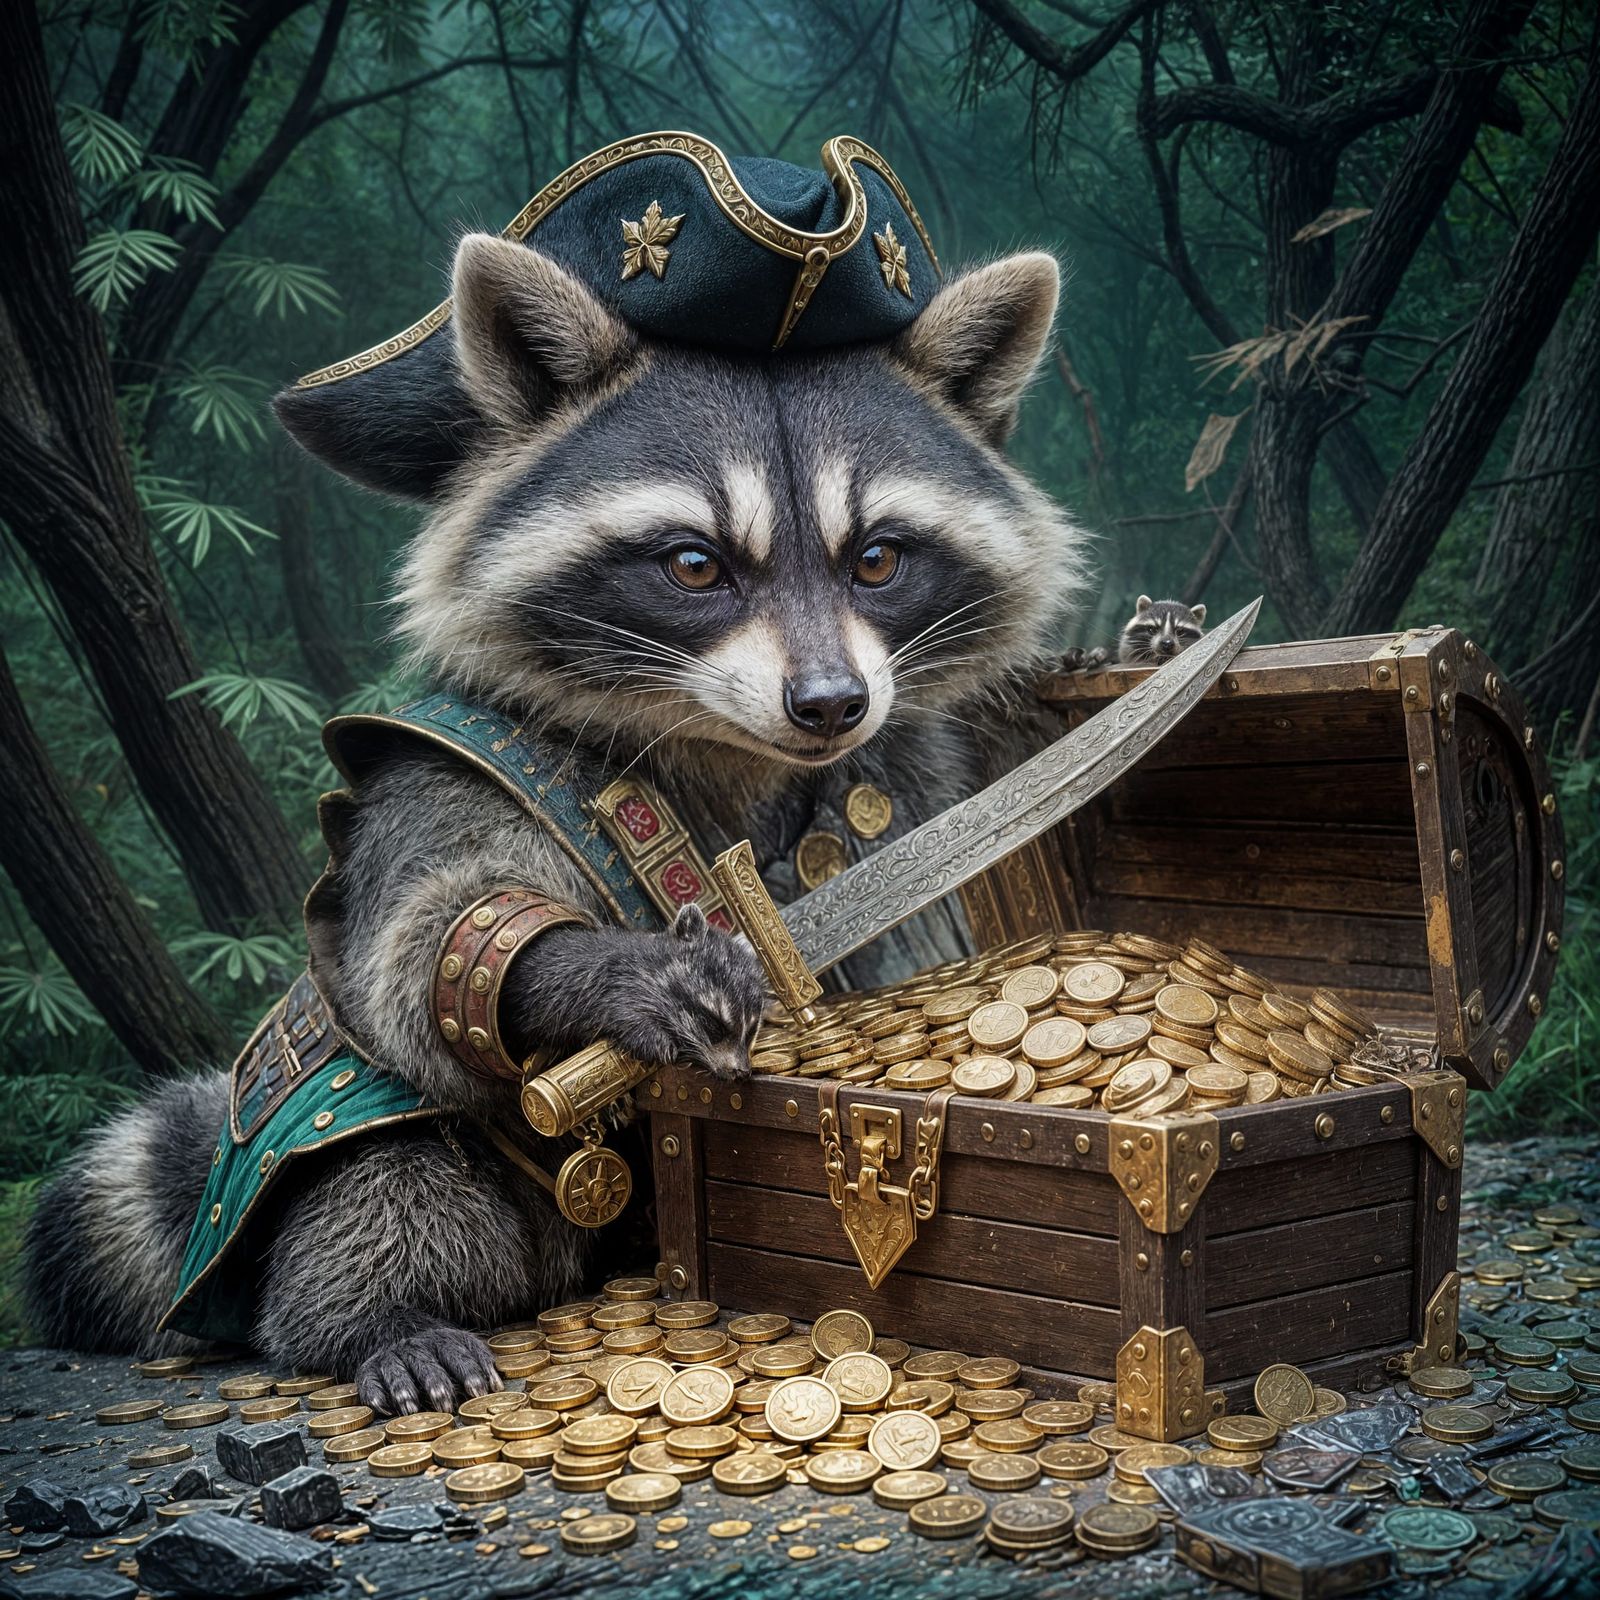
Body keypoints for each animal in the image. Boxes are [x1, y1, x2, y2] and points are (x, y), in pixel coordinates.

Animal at [25, 235, 1085, 1413]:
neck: (737, 745)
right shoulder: (451, 758)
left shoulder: (924, 769)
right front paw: (605, 967)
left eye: (879, 559)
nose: (829, 705)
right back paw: (368, 1316)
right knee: (390, 1174)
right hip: (368, 1155)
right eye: (695, 565)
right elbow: (426, 930)